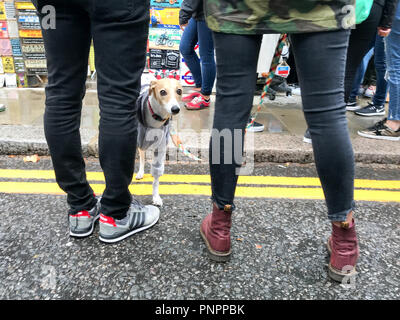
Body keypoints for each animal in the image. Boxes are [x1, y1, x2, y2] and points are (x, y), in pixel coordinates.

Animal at [136, 76, 183, 208]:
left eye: (179, 91)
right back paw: (140, 172)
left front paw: (156, 197)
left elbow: (156, 178)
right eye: (162, 92)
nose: (175, 109)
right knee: (142, 155)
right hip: (140, 143)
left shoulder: (161, 146)